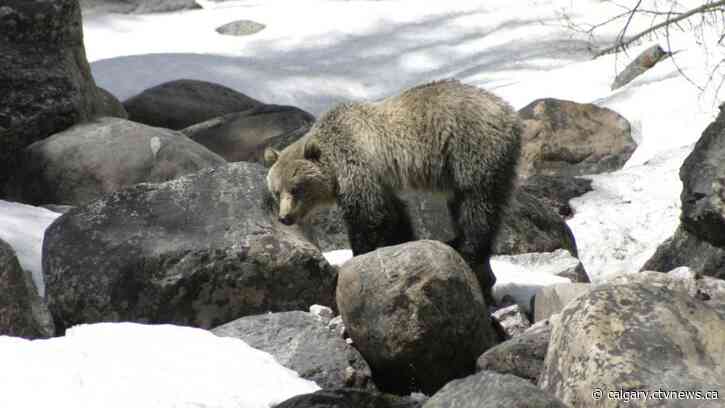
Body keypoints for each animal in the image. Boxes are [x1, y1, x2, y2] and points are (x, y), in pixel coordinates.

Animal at [264, 79, 522, 295]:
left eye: (296, 188)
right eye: (276, 191)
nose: (285, 217)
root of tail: (510, 113)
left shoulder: (357, 165)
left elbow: (368, 214)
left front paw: (359, 254)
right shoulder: (380, 180)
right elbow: (392, 214)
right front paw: (401, 242)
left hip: (471, 148)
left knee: (477, 205)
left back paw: (467, 248)